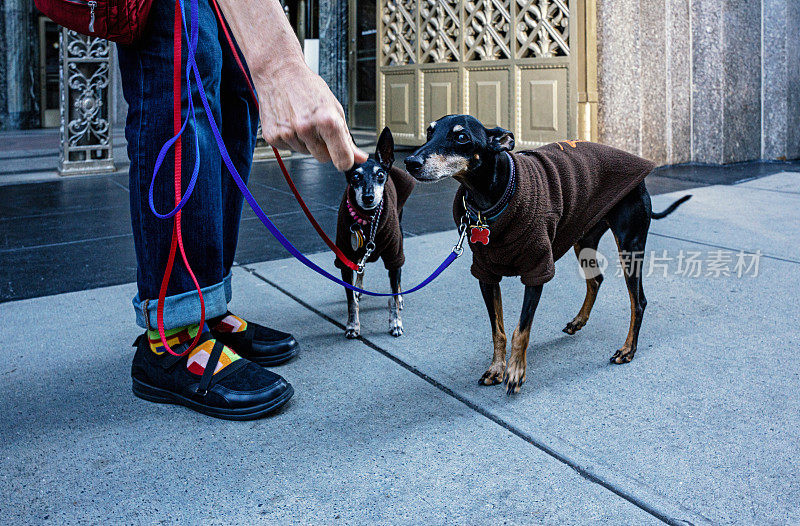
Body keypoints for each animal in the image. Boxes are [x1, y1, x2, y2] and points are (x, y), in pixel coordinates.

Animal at [334, 130, 416, 340]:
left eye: (380, 175)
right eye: (355, 177)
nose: (368, 197)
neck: (367, 219)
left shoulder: (394, 257)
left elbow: (393, 294)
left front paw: (395, 323)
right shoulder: (345, 260)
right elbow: (350, 301)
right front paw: (352, 325)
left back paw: (400, 297)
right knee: (360, 268)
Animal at [406, 116, 688, 396]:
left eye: (461, 137)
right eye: (429, 132)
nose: (410, 162)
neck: (491, 199)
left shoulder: (537, 269)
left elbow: (521, 329)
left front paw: (515, 372)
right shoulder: (485, 274)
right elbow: (498, 329)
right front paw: (496, 368)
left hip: (630, 244)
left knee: (638, 301)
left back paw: (628, 349)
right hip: (583, 238)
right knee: (596, 280)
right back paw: (579, 321)